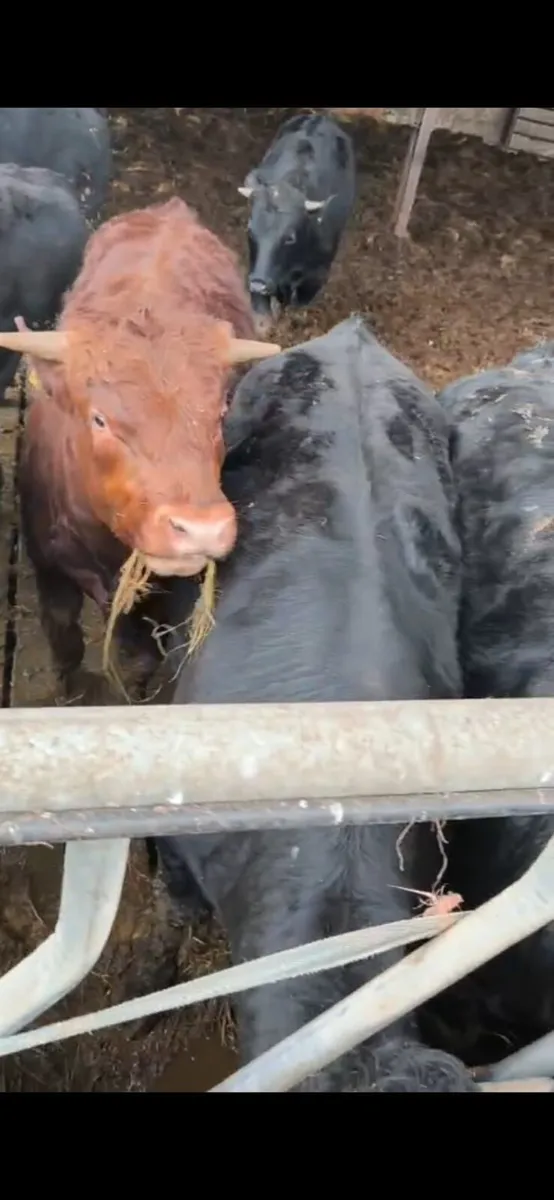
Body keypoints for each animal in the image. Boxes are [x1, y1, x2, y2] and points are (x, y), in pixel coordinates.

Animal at [0, 197, 280, 696]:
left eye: (220, 412)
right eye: (99, 418)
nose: (201, 529)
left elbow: (143, 658)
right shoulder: (48, 565)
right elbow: (65, 638)